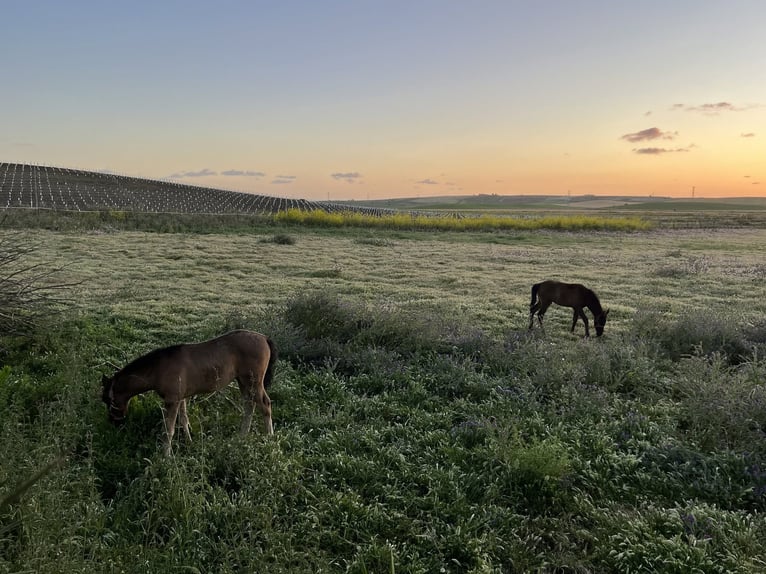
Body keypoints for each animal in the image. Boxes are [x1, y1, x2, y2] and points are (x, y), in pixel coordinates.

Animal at [101, 330, 277, 455]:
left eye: (108, 400)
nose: (113, 422)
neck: (159, 369)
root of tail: (264, 338)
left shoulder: (171, 401)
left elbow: (168, 429)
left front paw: (166, 456)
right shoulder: (181, 398)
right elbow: (184, 420)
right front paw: (189, 442)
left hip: (253, 382)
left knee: (265, 404)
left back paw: (269, 438)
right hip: (243, 382)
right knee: (249, 405)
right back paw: (242, 437)